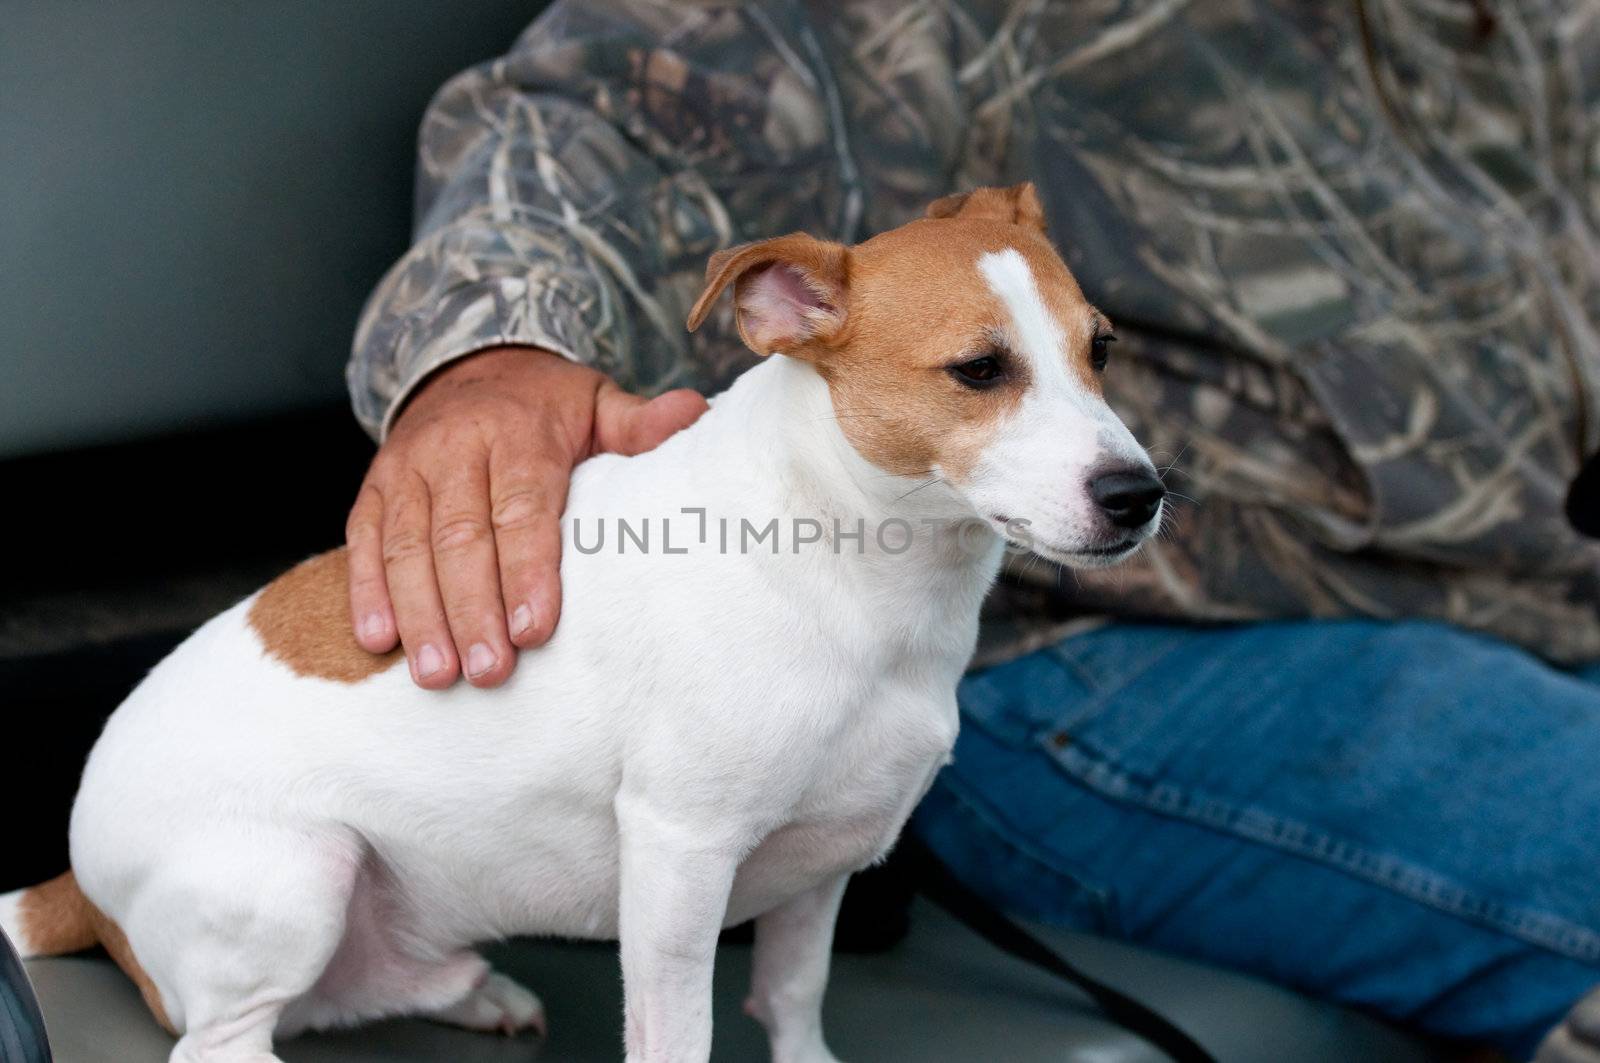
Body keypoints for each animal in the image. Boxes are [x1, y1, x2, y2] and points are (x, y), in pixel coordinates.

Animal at [0, 184, 1164, 1063]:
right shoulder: (680, 858)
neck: (847, 555)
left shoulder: (820, 870)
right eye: (979, 370)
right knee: (220, 1039)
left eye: (1102, 349)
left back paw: (474, 990)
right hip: (297, 877)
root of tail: (73, 882)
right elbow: (678, 1033)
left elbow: (792, 1000)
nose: (1139, 494)